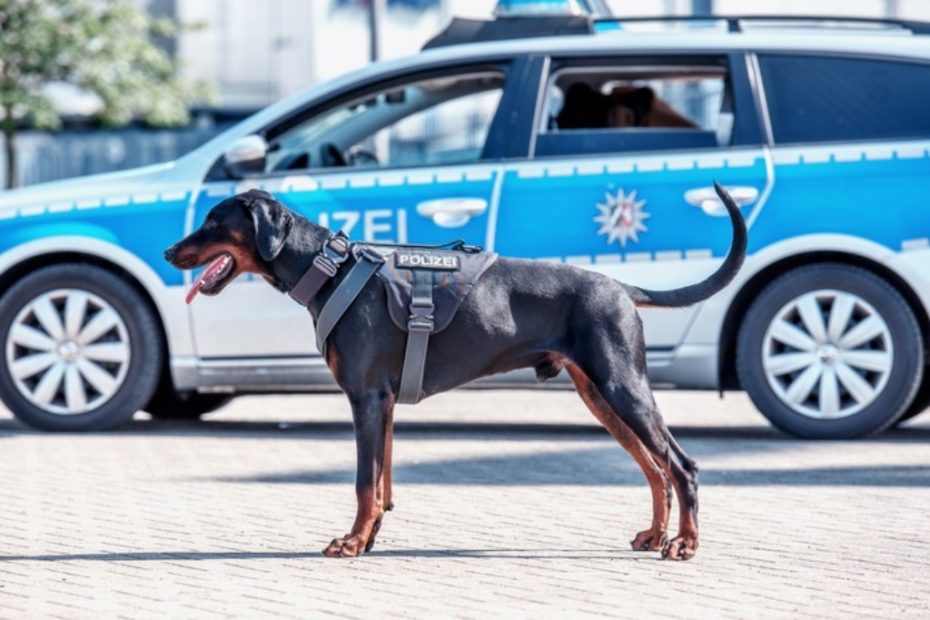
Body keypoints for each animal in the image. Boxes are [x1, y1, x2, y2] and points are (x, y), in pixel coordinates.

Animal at [165, 184, 748, 560]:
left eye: (213, 221)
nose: (169, 250)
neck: (327, 270)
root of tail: (621, 288)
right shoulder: (384, 404)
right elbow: (380, 483)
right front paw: (368, 540)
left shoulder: (366, 398)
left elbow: (363, 483)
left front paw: (351, 543)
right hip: (600, 394)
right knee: (655, 469)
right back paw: (655, 536)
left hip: (621, 385)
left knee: (681, 466)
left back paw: (685, 544)